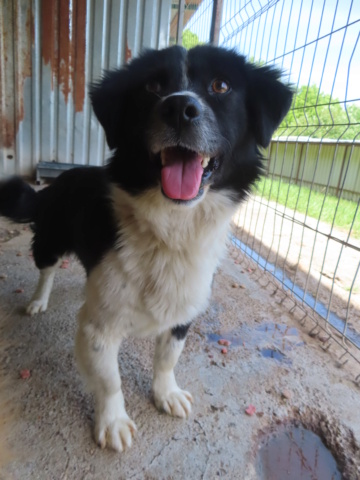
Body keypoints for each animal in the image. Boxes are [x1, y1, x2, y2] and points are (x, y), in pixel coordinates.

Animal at [0, 44, 292, 450]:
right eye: (152, 86)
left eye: (220, 85)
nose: (180, 108)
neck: (169, 231)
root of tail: (61, 177)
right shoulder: (98, 328)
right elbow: (109, 379)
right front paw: (113, 421)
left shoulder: (184, 310)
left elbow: (168, 357)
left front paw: (166, 393)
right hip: (51, 240)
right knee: (46, 268)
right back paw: (38, 300)